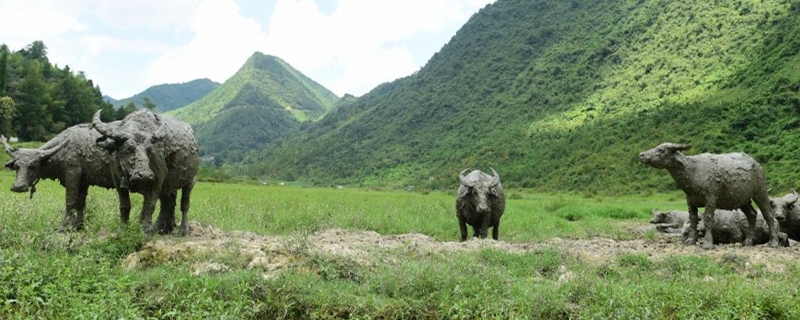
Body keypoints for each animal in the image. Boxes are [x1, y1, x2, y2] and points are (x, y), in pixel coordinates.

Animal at [640, 143, 780, 250]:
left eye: (661, 150)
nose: (641, 155)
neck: (693, 171)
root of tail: (756, 163)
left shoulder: (711, 199)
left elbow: (708, 220)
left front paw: (707, 244)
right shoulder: (690, 201)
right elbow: (693, 220)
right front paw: (691, 240)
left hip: (760, 192)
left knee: (768, 214)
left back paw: (773, 242)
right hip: (742, 200)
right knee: (752, 214)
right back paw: (748, 242)